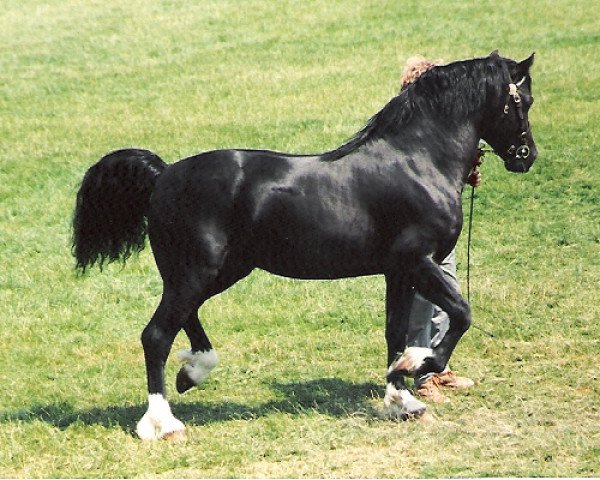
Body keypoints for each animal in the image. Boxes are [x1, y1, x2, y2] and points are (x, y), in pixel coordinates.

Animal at [72, 51, 536, 438]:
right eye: (525, 100)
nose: (526, 156)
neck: (417, 160)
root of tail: (163, 176)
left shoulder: (397, 272)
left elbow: (394, 332)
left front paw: (402, 401)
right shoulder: (418, 262)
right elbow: (461, 314)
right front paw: (419, 365)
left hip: (215, 271)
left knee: (184, 320)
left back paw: (192, 373)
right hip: (196, 273)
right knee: (156, 335)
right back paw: (162, 424)